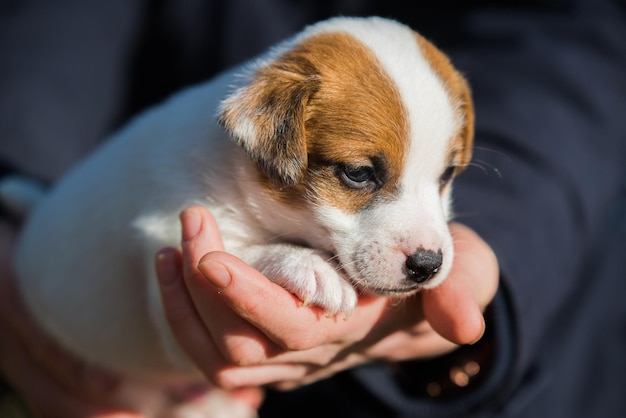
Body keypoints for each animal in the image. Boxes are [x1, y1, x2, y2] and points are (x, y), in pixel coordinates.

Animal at [2, 16, 470, 418]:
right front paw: (308, 265)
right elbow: (235, 250)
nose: (428, 265)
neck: (238, 173)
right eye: (358, 173)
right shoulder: (168, 257)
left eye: (447, 175)